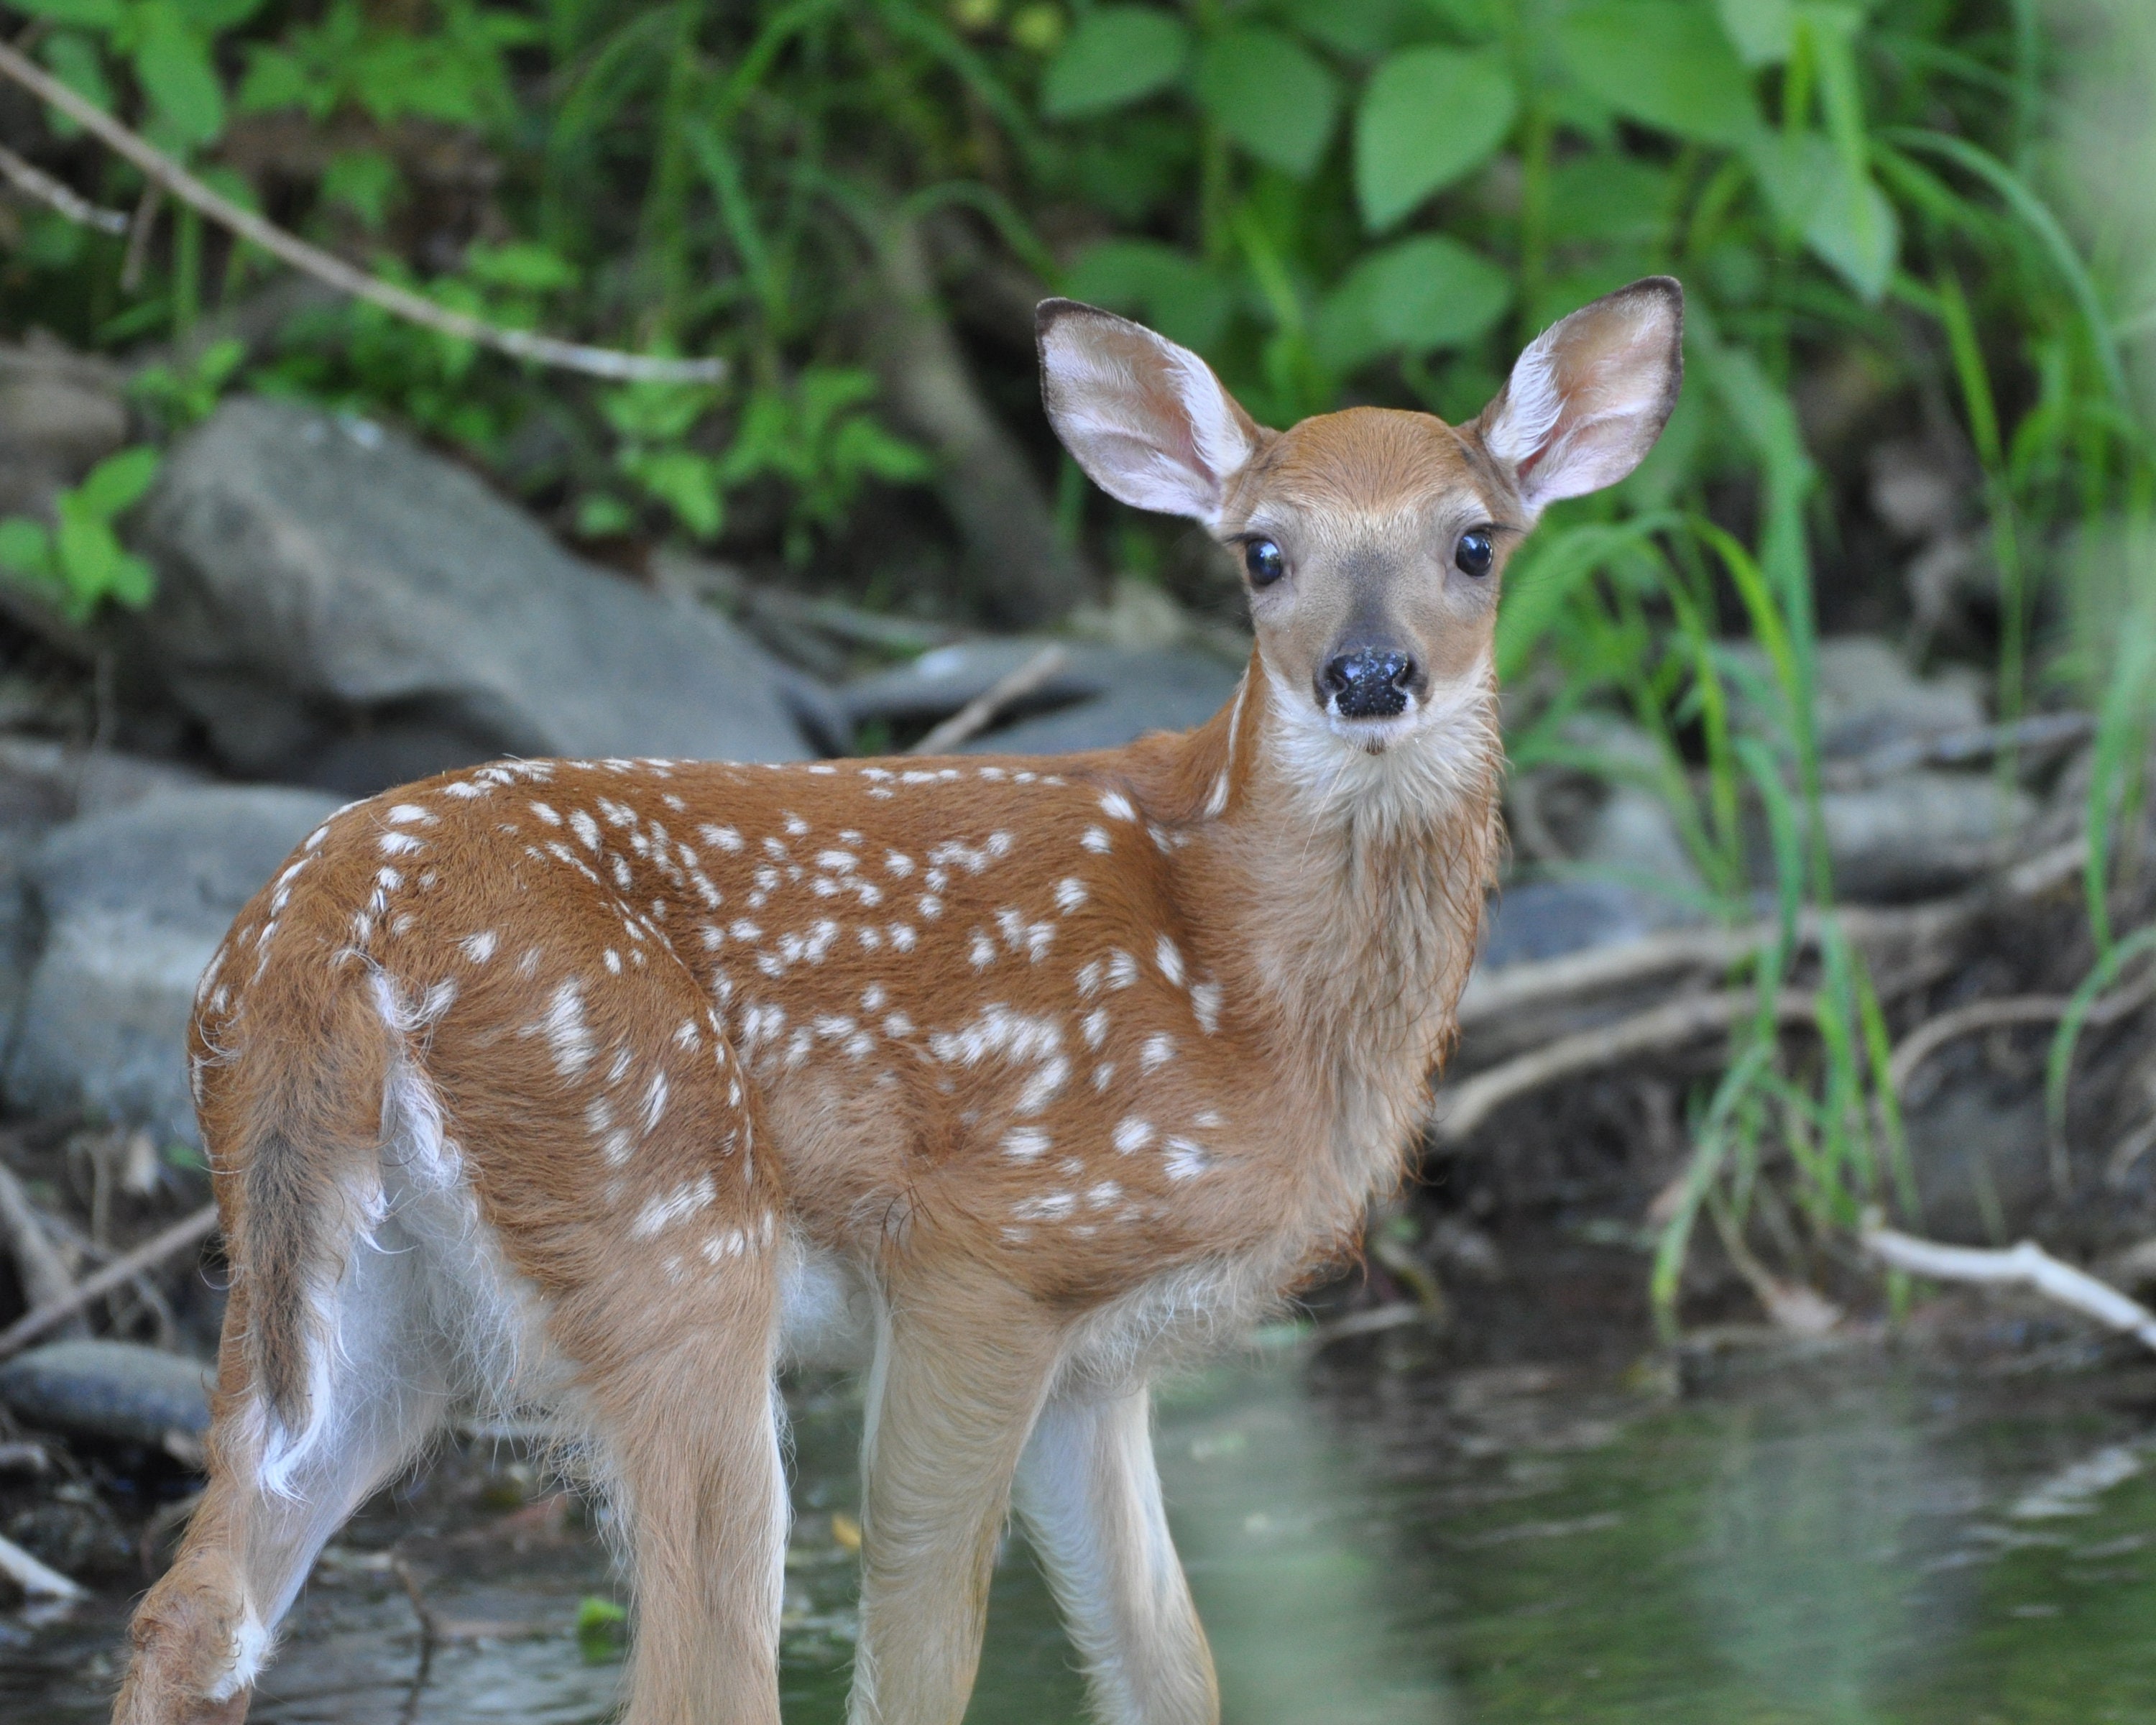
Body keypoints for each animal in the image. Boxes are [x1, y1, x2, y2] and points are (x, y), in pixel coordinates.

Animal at [113, 276, 1682, 1725]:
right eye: (1262, 555)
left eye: (1473, 544)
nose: (1368, 675)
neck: (1239, 974)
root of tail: (322, 939)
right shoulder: (987, 1246)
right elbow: (923, 1658)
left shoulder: (1100, 1360)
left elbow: (1170, 1672)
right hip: (661, 1216)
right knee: (696, 1673)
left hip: (344, 1300)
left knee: (193, 1611)